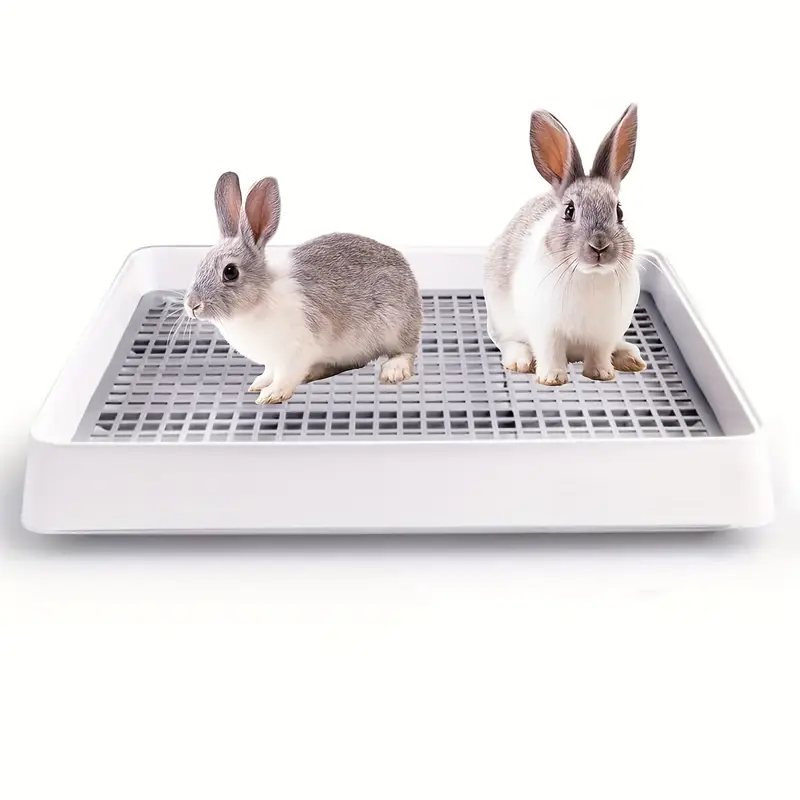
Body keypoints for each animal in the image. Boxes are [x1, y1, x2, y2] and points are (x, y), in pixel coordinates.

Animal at [184, 172, 422, 404]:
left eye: (230, 271)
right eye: (200, 264)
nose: (192, 305)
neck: (259, 298)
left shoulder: (295, 352)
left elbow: (286, 377)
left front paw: (272, 394)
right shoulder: (273, 361)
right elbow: (269, 372)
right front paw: (258, 384)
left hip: (395, 327)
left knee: (405, 352)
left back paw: (393, 371)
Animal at [484, 104, 646, 386]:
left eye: (619, 212)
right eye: (569, 211)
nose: (599, 247)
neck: (590, 276)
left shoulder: (604, 334)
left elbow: (600, 354)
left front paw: (602, 374)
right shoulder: (546, 331)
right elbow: (550, 353)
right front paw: (552, 378)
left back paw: (630, 358)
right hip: (501, 319)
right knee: (508, 342)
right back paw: (520, 361)